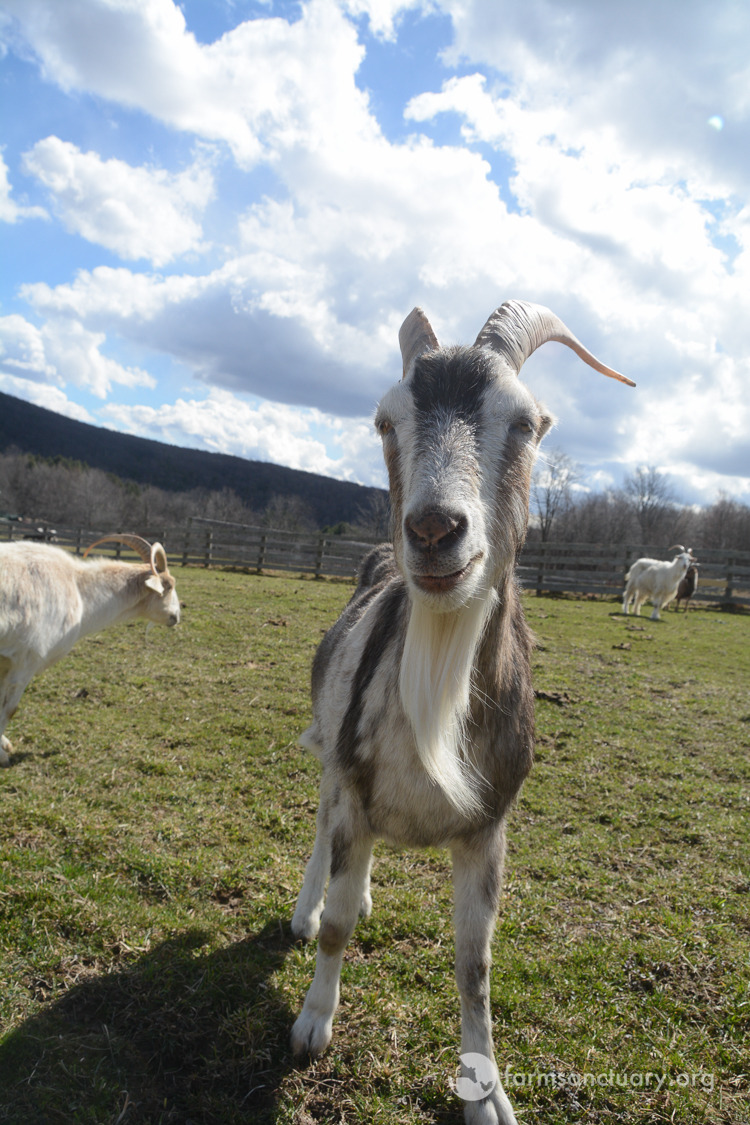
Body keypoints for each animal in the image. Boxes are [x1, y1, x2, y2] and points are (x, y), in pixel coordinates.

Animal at [0, 533, 179, 765]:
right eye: (169, 587)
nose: (176, 616)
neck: (79, 588)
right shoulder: (25, 662)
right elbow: (9, 709)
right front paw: (3, 756)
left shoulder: (6, 663)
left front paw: (4, 744)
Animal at [290, 299, 638, 1125]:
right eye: (385, 419)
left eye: (527, 421)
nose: (433, 530)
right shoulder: (354, 783)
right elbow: (339, 926)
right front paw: (313, 1023)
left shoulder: (488, 826)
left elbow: (475, 964)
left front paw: (487, 1092)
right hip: (331, 760)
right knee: (321, 835)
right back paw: (306, 907)